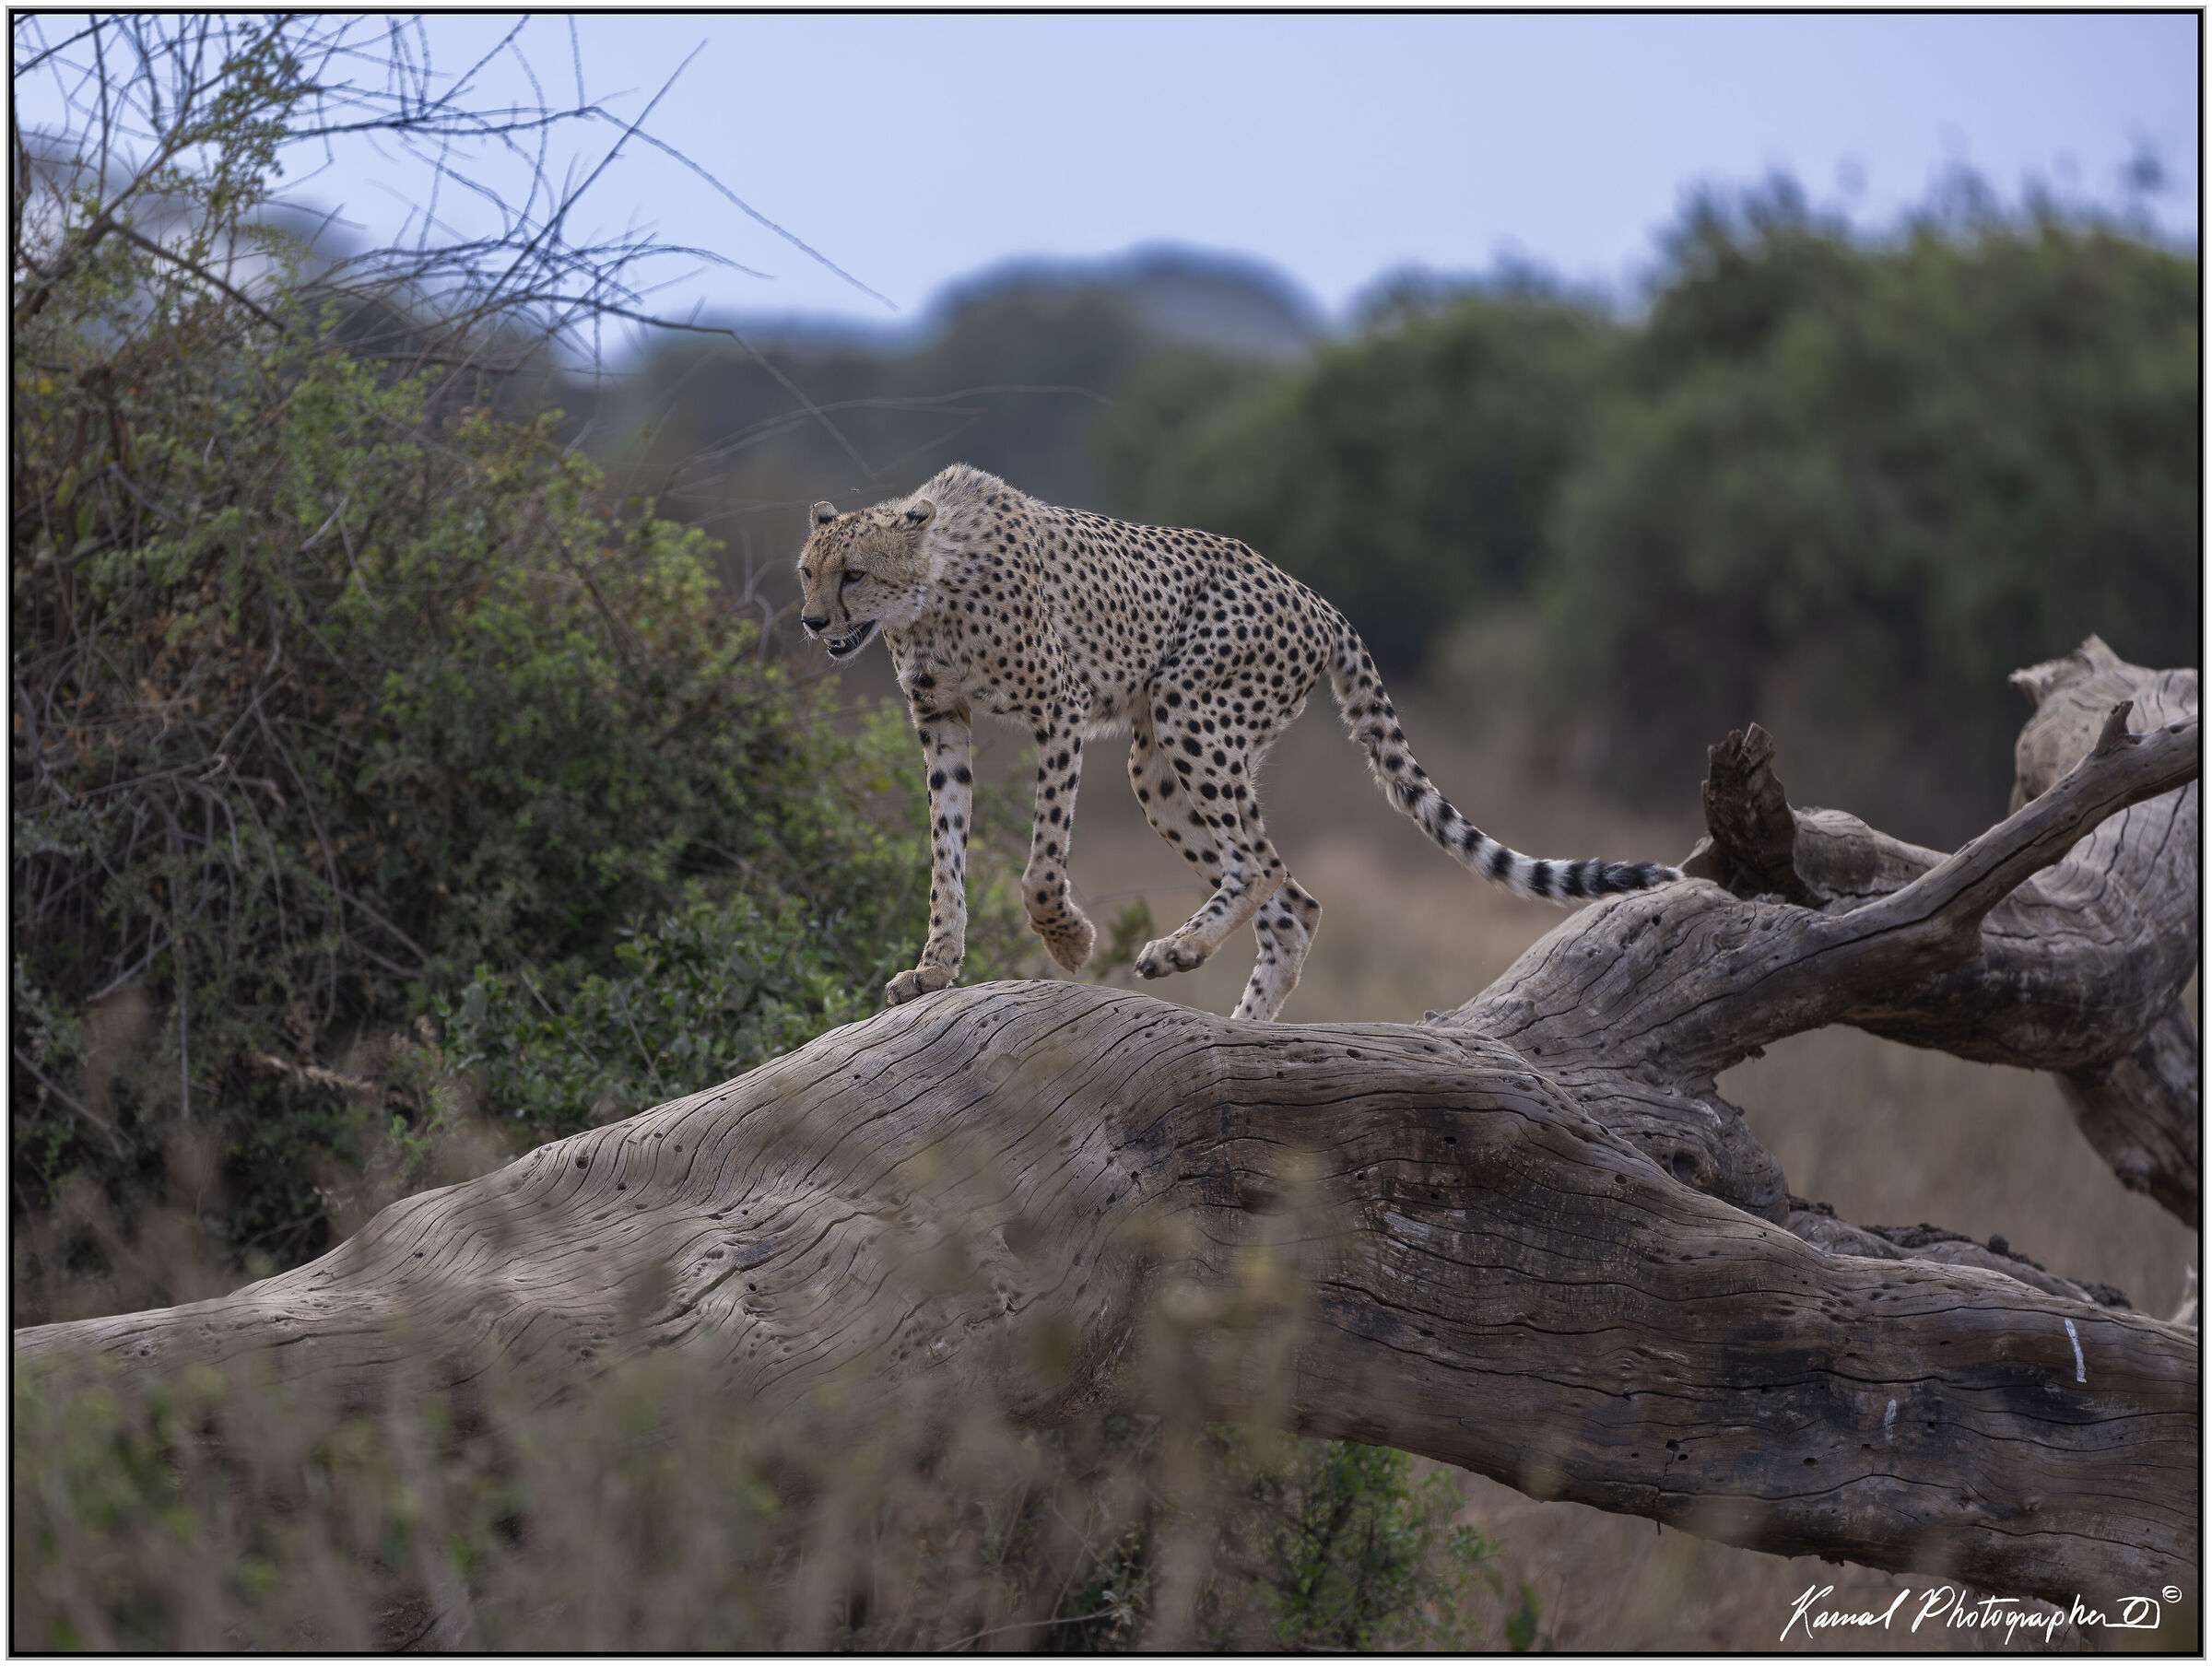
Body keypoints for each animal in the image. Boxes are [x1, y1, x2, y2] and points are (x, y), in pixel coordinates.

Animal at [795, 463, 1680, 1022]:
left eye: (854, 574)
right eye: (808, 570)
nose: (809, 621)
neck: (930, 591)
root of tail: (1317, 598)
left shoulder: (1061, 708)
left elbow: (1042, 864)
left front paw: (1070, 941)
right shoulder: (941, 722)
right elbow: (944, 856)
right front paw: (934, 968)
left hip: (1189, 710)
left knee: (1264, 867)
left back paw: (1178, 952)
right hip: (1157, 764)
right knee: (1292, 903)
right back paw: (1239, 1028)